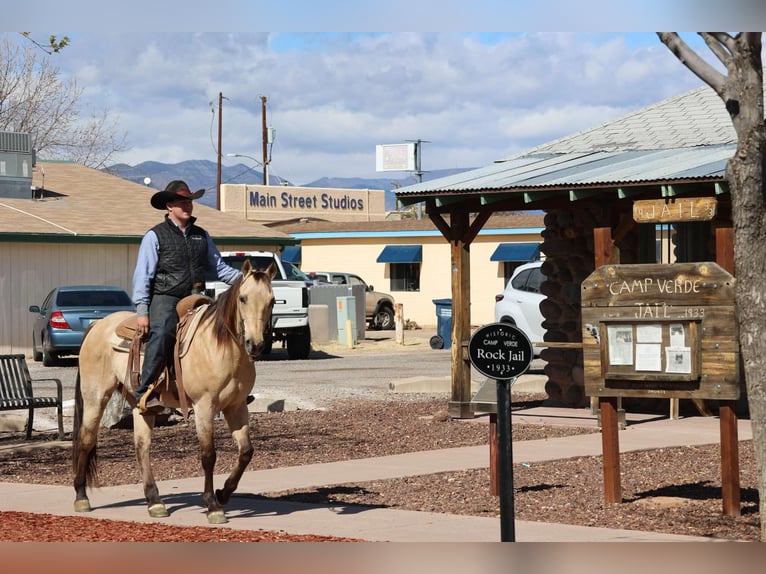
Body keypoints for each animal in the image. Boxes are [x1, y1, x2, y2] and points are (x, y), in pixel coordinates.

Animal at [71, 260, 276, 528]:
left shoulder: (237, 406)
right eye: (243, 298)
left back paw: (155, 502)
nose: (256, 344)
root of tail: (97, 325)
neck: (221, 345)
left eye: (272, 300)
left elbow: (246, 452)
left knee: (142, 447)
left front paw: (223, 493)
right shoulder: (204, 406)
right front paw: (212, 506)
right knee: (86, 440)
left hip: (139, 404)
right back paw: (81, 497)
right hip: (96, 397)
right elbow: (208, 455)